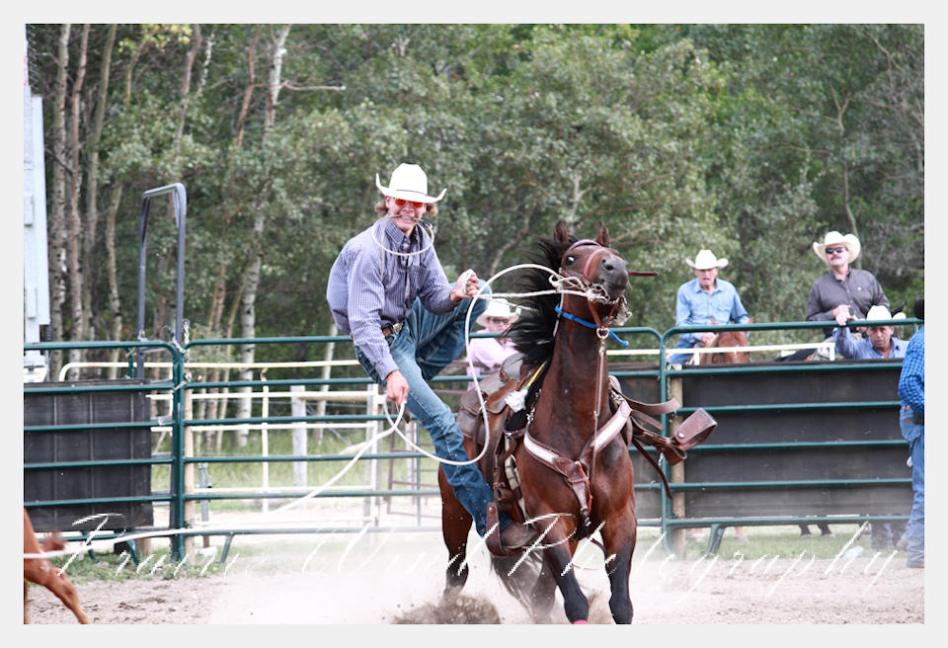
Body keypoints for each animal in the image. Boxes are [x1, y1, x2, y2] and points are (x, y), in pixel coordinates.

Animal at [438, 221, 639, 624]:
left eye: (612, 251)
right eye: (571, 258)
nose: (615, 269)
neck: (578, 426)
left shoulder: (619, 518)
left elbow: (620, 605)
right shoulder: (550, 520)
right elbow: (575, 602)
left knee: (542, 591)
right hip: (453, 512)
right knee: (457, 573)